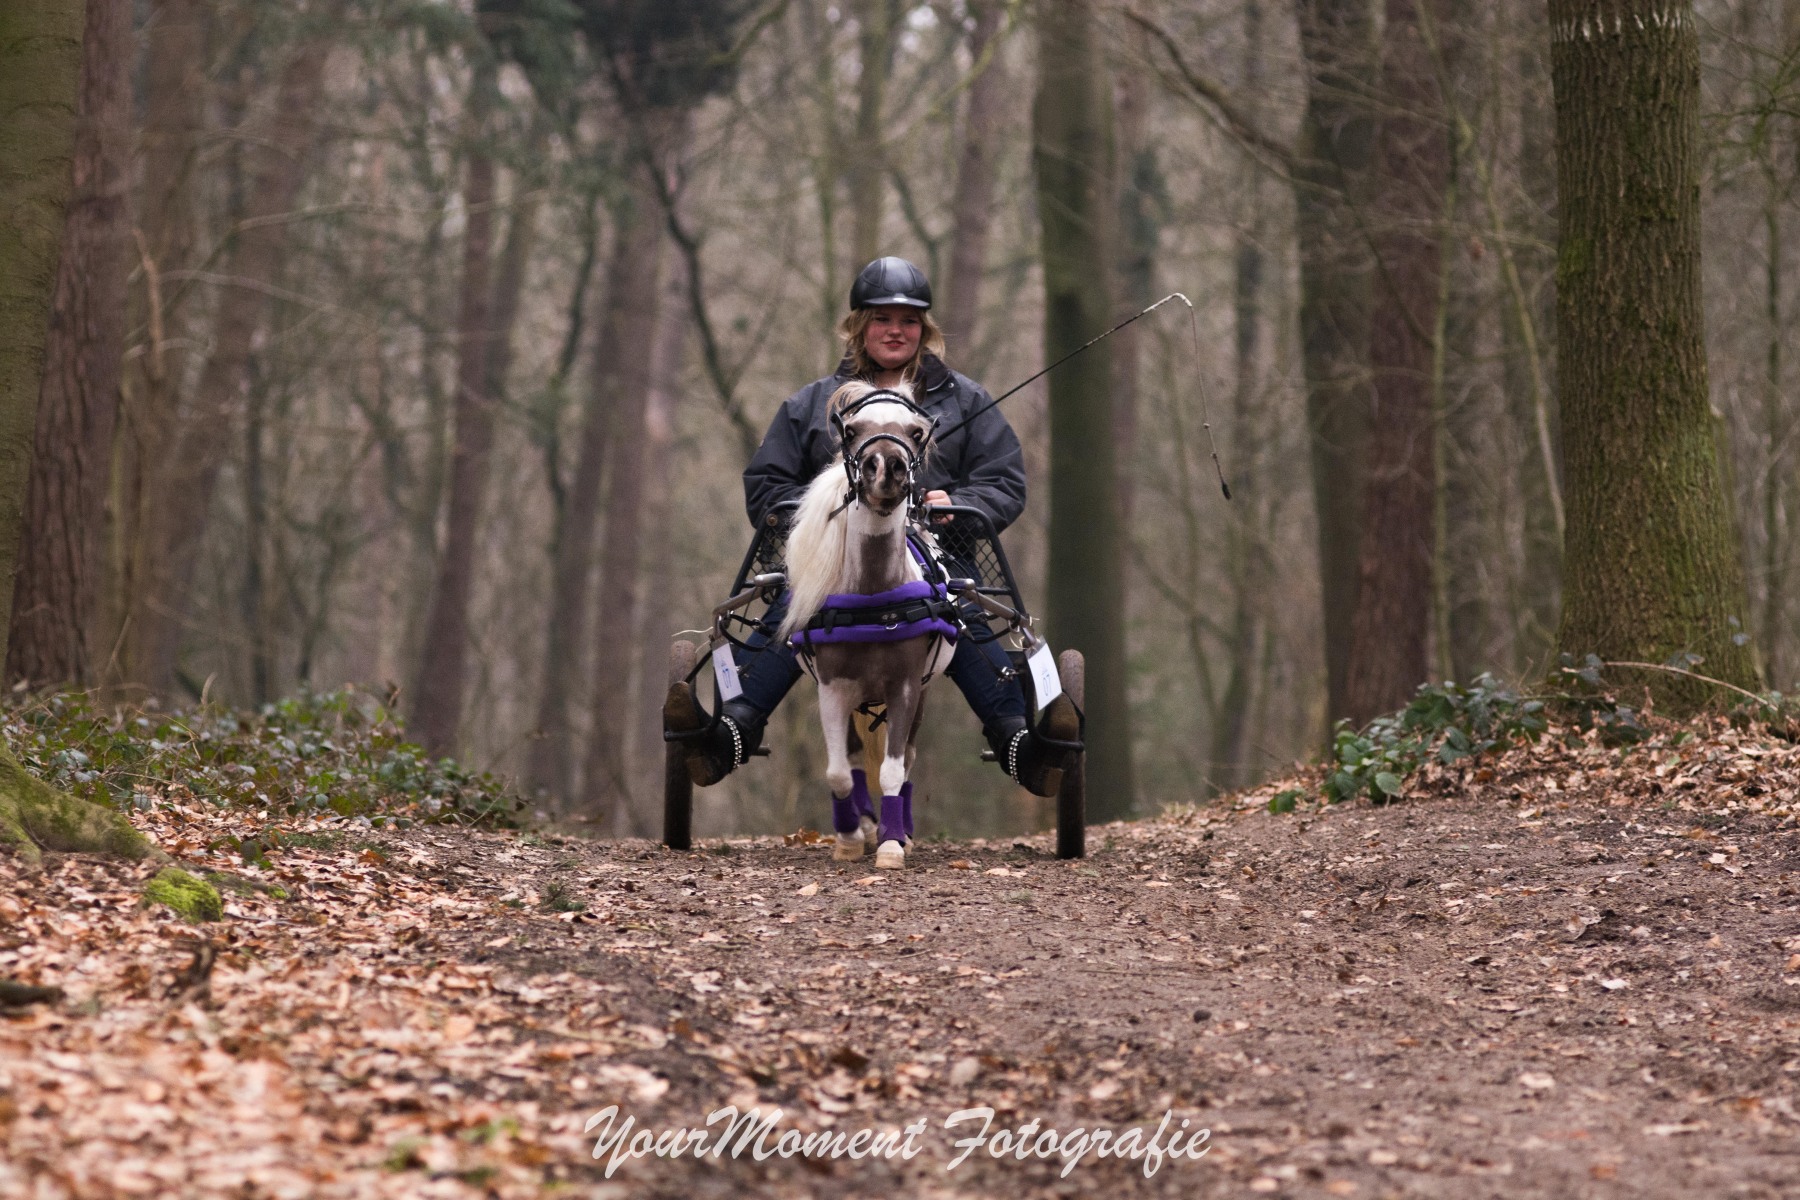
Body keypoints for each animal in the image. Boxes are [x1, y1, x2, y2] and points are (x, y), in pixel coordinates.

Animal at [777, 380, 957, 869]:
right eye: (852, 430)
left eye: (915, 432)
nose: (887, 466)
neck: (875, 601)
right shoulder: (832, 687)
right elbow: (839, 772)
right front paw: (849, 836)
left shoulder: (907, 686)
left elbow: (894, 770)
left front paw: (892, 844)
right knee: (855, 762)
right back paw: (862, 823)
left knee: (907, 757)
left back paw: (899, 829)